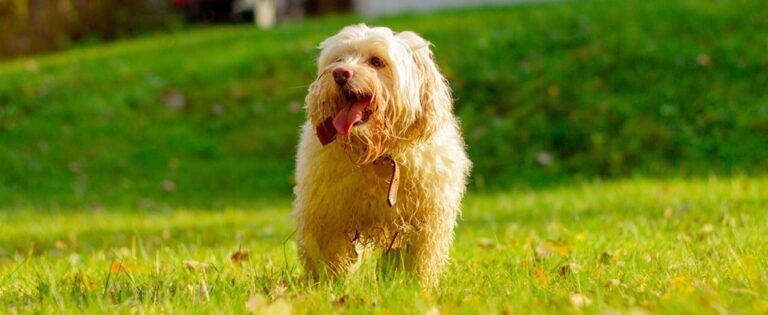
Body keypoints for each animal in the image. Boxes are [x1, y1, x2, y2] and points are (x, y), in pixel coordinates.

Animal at [294, 24, 472, 286]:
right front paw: (329, 285)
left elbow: (414, 262)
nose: (340, 74)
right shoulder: (328, 217)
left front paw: (412, 287)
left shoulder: (421, 222)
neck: (377, 155)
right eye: (338, 60)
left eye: (376, 62)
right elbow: (329, 259)